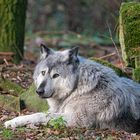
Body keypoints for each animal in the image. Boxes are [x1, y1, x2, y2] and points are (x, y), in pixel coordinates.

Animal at [4, 44, 140, 132]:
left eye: (56, 75)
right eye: (43, 73)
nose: (39, 91)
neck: (77, 88)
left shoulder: (76, 119)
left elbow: (40, 116)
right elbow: (34, 114)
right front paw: (13, 121)